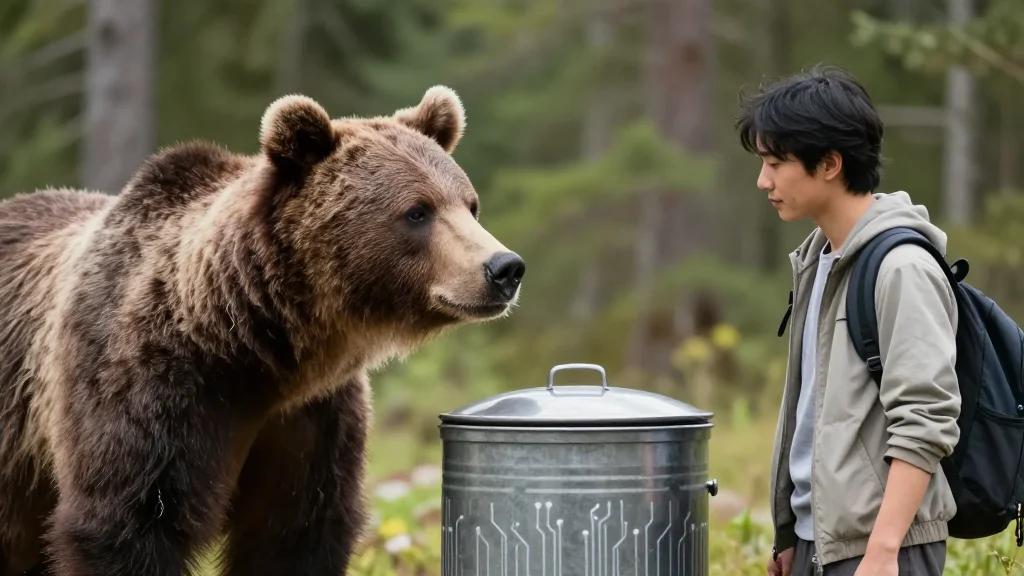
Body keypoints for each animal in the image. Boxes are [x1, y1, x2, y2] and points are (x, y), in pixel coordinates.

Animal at [0, 86, 525, 576]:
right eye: (417, 211)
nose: (504, 268)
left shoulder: (310, 420)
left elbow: (294, 534)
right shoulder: (145, 389)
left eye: (470, 205)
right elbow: (129, 524)